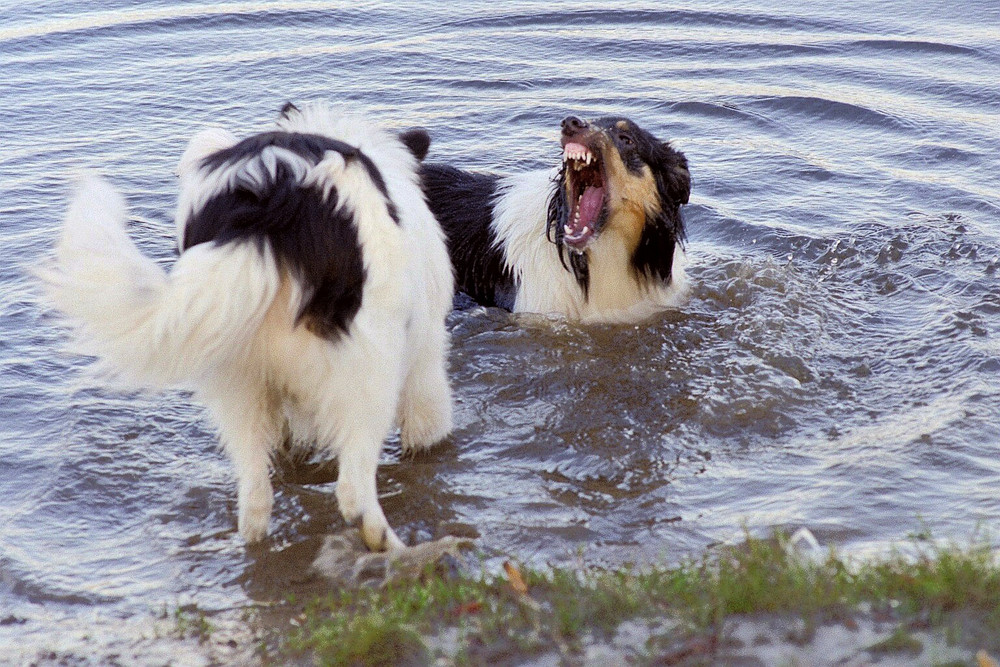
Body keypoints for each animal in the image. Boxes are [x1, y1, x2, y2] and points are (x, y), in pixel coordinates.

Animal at [37, 102, 454, 552]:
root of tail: (273, 199)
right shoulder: (424, 362)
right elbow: (426, 430)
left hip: (233, 370)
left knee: (254, 496)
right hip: (368, 375)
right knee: (352, 491)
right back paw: (391, 544)